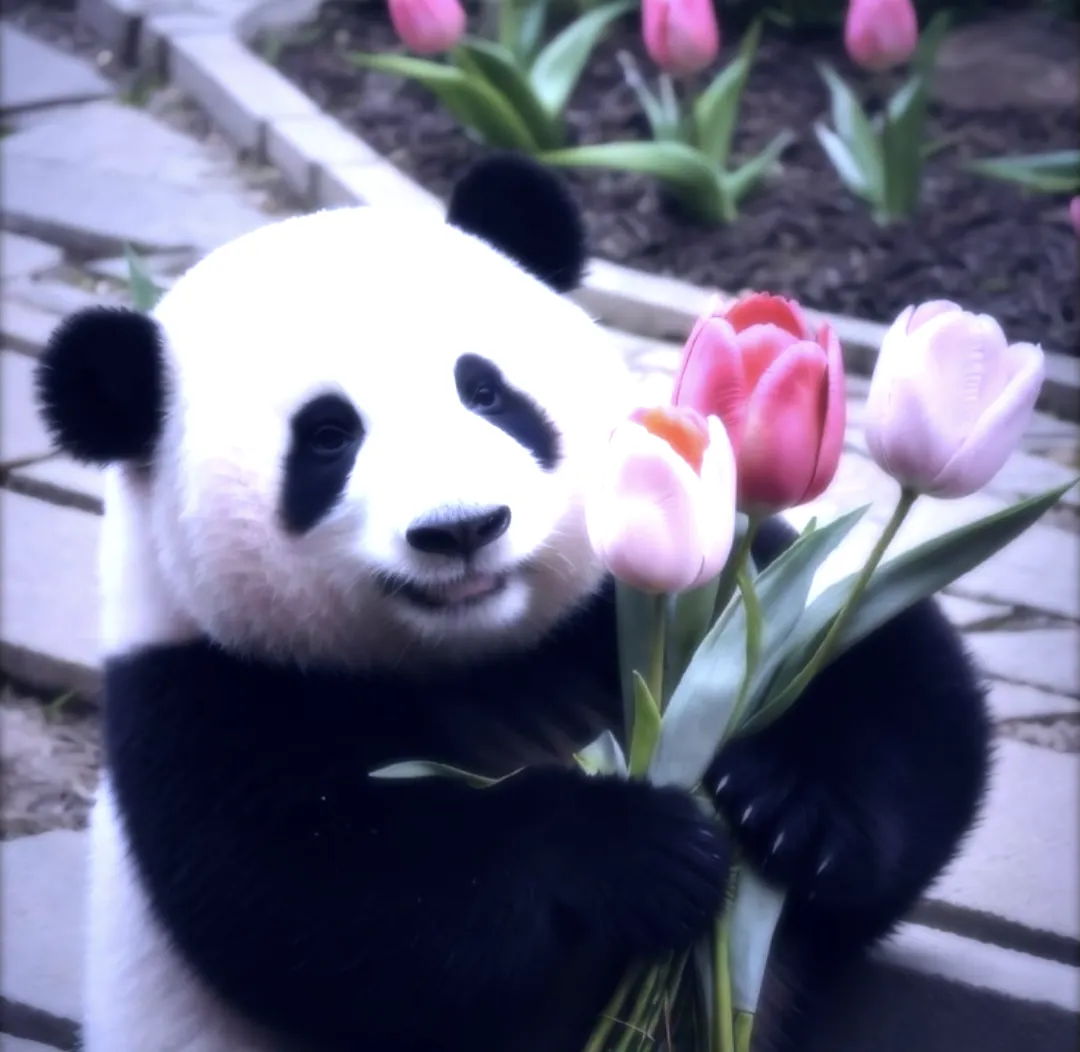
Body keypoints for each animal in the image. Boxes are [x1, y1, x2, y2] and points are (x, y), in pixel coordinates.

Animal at [34, 154, 991, 1052]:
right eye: (329, 438)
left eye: (486, 392)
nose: (461, 528)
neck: (481, 657)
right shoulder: (206, 693)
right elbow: (323, 904)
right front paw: (635, 849)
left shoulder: (667, 573)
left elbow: (891, 683)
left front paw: (788, 810)